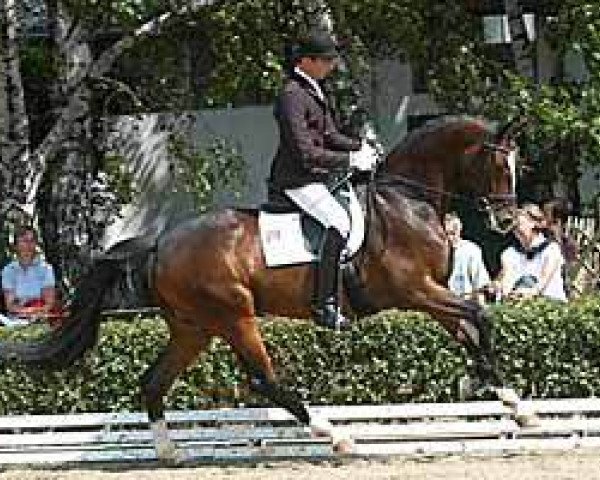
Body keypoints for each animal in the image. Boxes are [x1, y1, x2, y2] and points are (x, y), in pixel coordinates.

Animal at [2, 114, 532, 460]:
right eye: (497, 167)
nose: (507, 221)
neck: (407, 200)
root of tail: (159, 243)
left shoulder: (429, 295)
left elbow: (470, 328)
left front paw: (508, 399)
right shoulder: (414, 290)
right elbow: (479, 316)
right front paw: (501, 394)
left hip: (194, 327)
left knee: (154, 381)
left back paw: (169, 452)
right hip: (234, 314)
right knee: (263, 379)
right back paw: (335, 436)